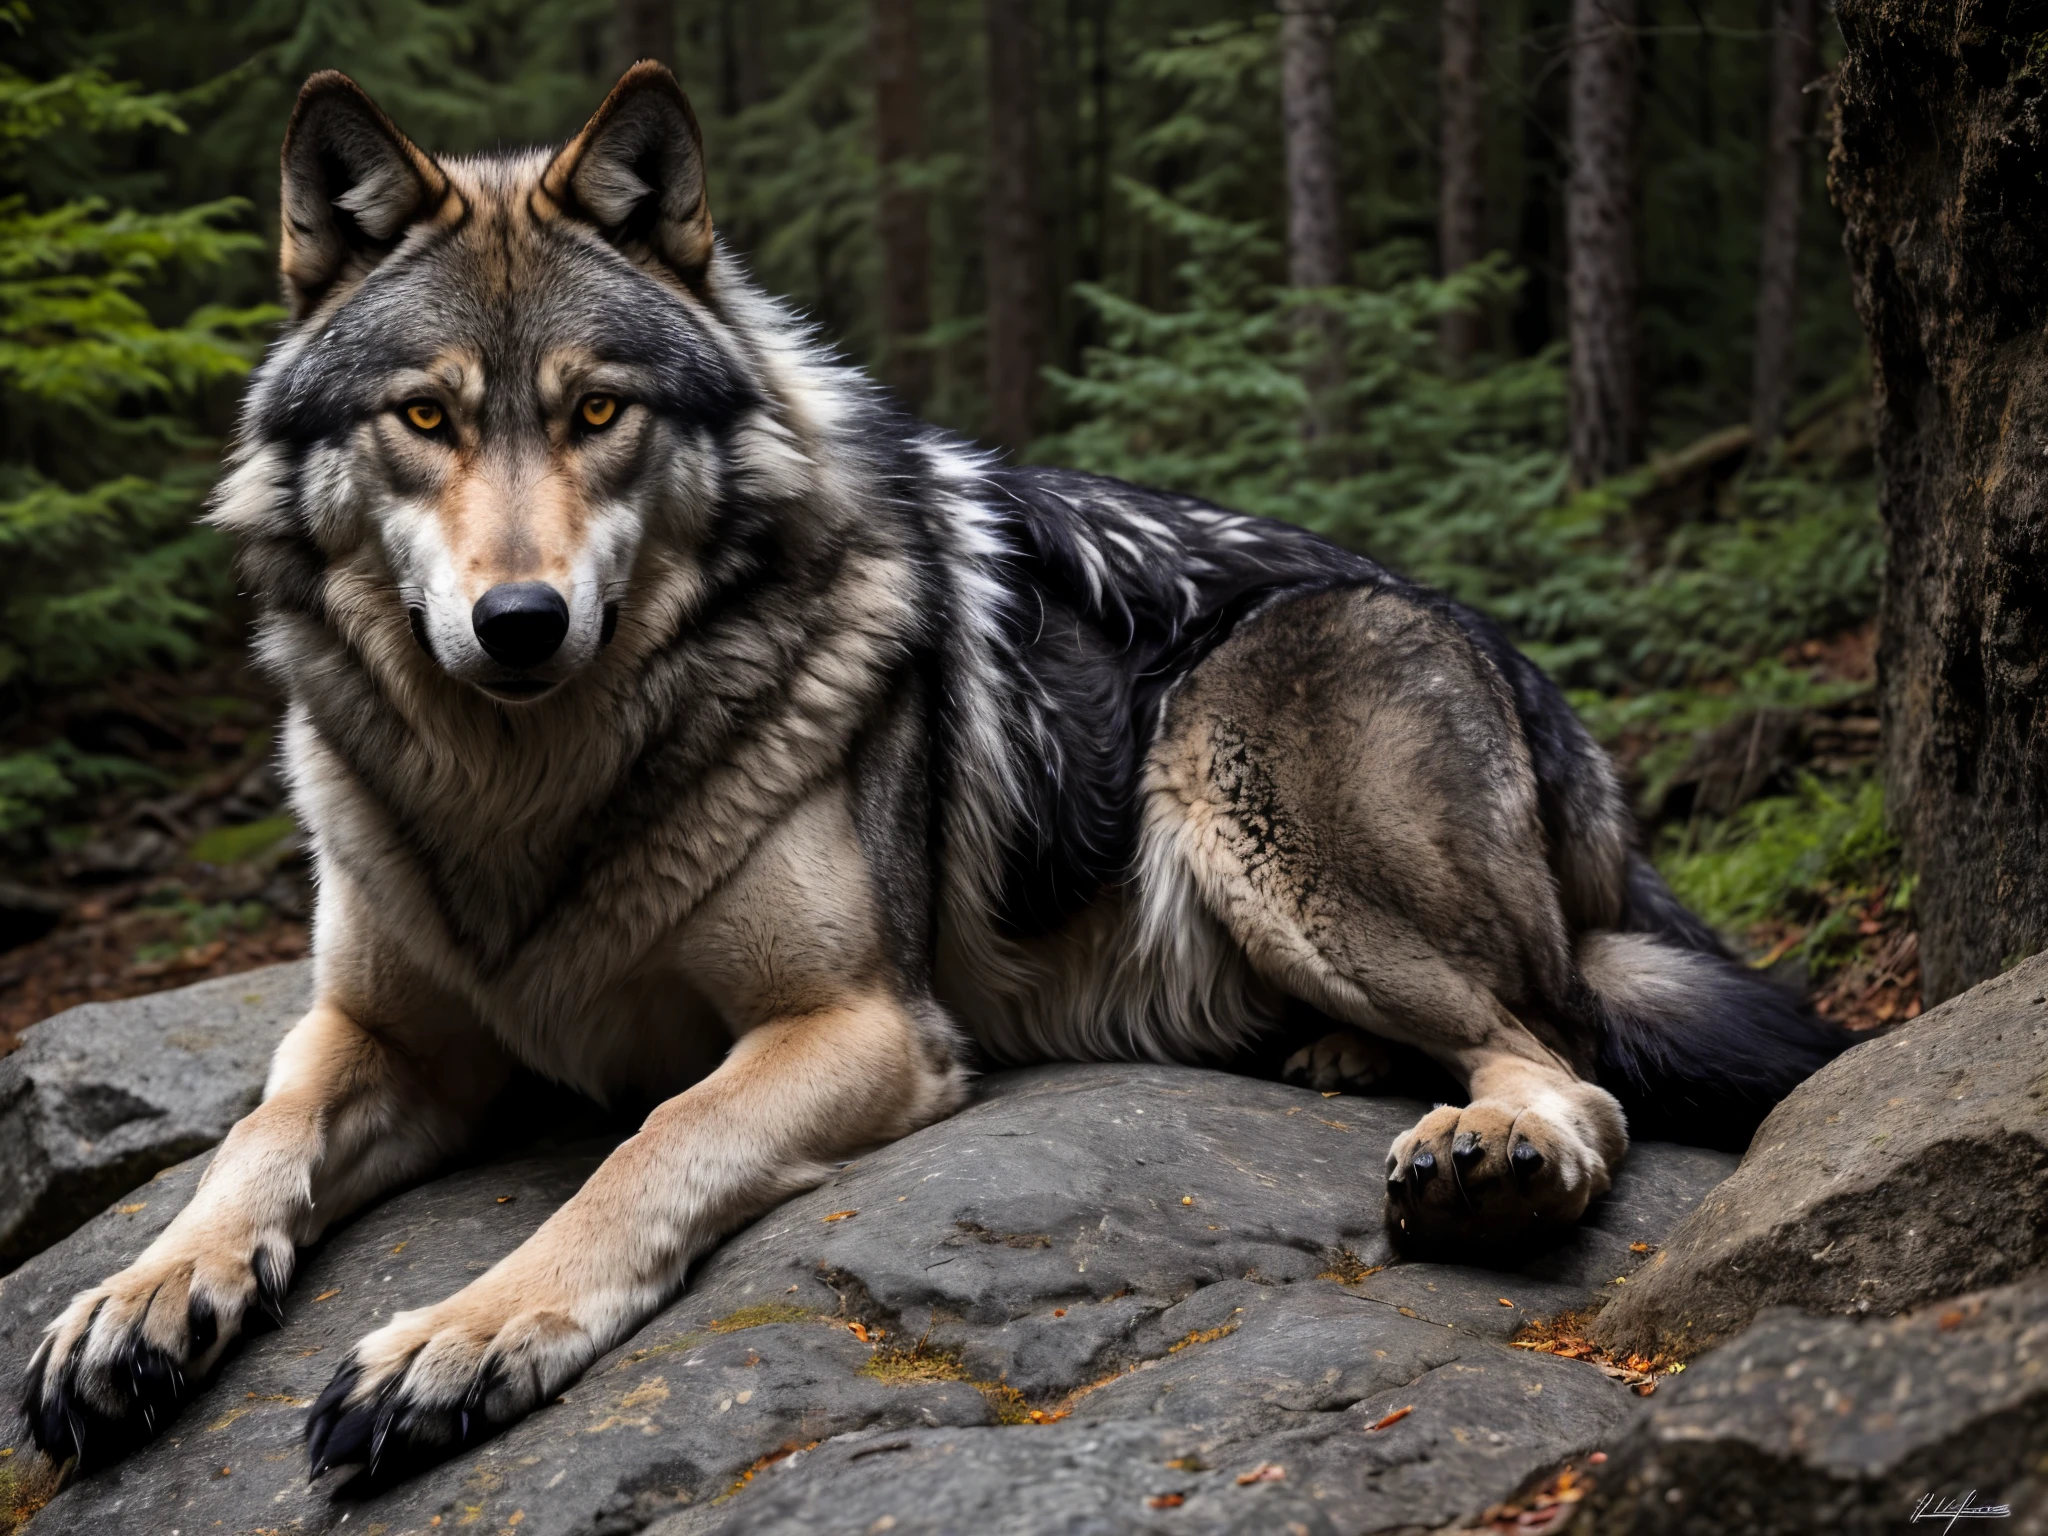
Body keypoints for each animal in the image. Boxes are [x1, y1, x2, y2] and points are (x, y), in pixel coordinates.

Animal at [12, 69, 1843, 1482]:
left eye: (596, 412)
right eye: (426, 419)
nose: (518, 624)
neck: (528, 791)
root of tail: (1532, 684)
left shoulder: (860, 1023)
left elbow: (646, 1149)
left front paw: (456, 1342)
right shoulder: (384, 1034)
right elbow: (253, 1143)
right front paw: (137, 1299)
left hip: (1249, 795)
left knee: (1570, 1068)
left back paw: (1484, 1154)